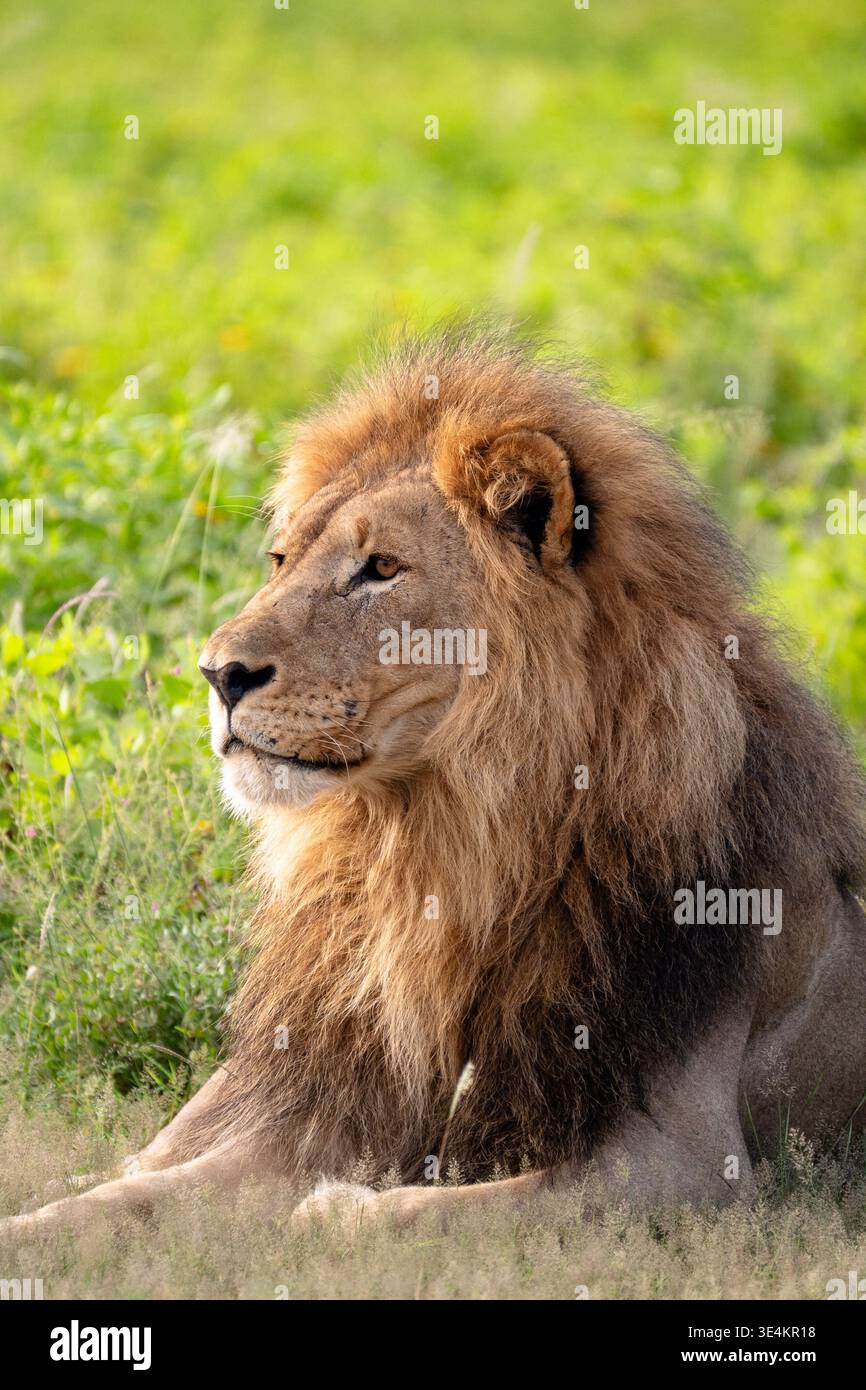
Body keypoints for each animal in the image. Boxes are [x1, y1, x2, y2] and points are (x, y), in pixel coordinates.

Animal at [5, 327, 866, 1238]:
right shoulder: (333, 1098)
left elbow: (442, 1210)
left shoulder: (694, 1163)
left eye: (381, 567)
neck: (440, 846)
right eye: (280, 558)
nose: (216, 674)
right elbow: (139, 1193)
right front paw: (33, 1230)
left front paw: (333, 1210)